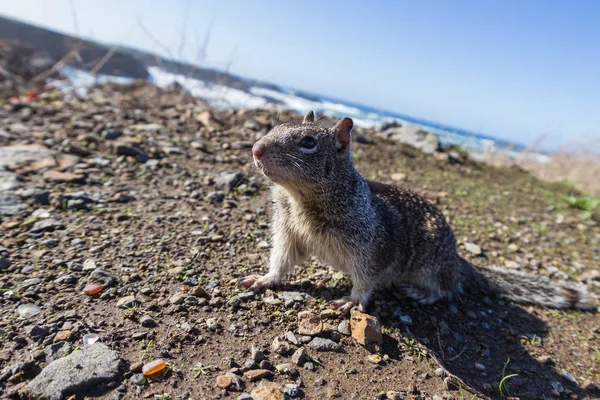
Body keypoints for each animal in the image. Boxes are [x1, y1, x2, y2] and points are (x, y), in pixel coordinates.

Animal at [238, 111, 592, 314]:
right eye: (277, 125)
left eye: (308, 142)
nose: (255, 149)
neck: (301, 200)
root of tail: (457, 260)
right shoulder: (288, 231)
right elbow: (282, 260)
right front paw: (265, 279)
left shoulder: (372, 247)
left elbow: (367, 278)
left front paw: (353, 300)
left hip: (431, 268)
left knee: (447, 290)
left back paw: (420, 293)